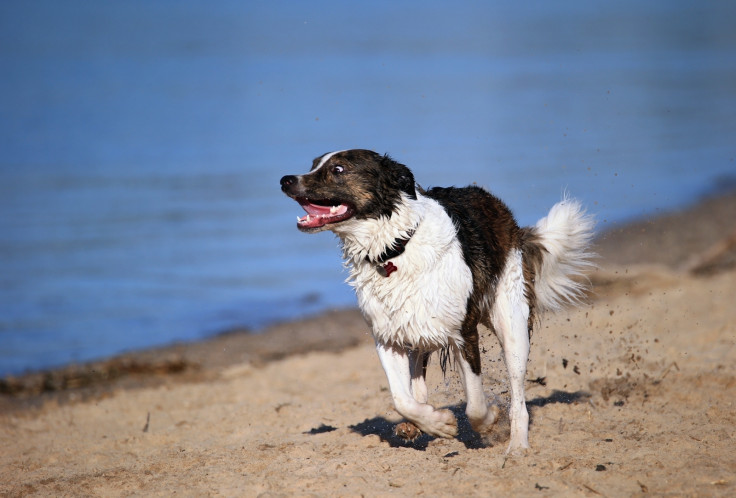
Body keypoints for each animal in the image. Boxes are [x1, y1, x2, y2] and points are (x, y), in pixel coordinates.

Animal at [278, 149, 596, 456]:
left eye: (338, 169)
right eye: (314, 164)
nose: (285, 180)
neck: (395, 249)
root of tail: (504, 214)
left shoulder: (463, 333)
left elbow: (475, 404)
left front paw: (488, 421)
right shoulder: (388, 337)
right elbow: (401, 398)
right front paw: (436, 422)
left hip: (512, 321)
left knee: (518, 394)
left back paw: (517, 445)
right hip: (418, 325)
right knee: (417, 376)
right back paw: (414, 424)